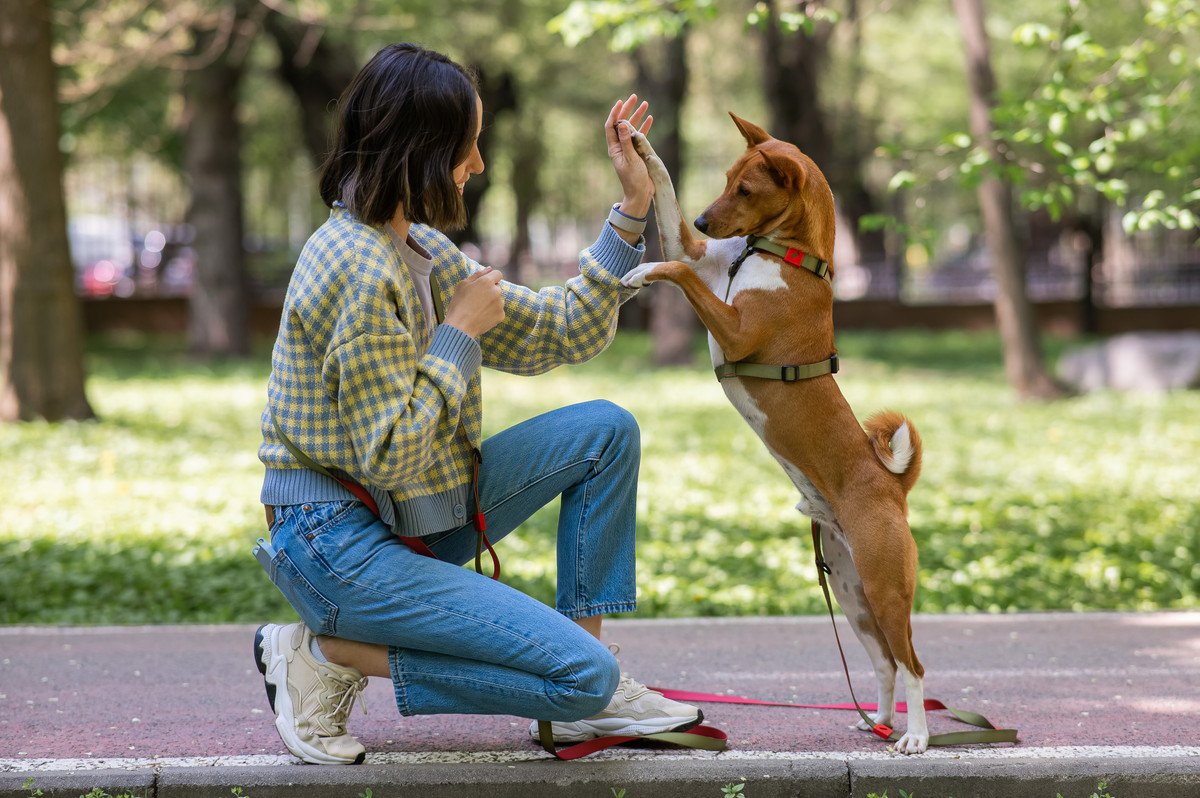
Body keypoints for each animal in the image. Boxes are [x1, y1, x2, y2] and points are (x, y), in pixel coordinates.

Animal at [624, 113, 931, 753]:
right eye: (724, 179)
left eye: (746, 190)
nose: (702, 222)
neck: (786, 255)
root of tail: (895, 486)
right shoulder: (702, 256)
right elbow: (667, 200)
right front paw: (639, 144)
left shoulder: (736, 330)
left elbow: (678, 269)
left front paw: (640, 271)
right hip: (853, 596)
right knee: (886, 663)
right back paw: (879, 723)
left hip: (886, 590)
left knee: (915, 664)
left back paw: (915, 737)